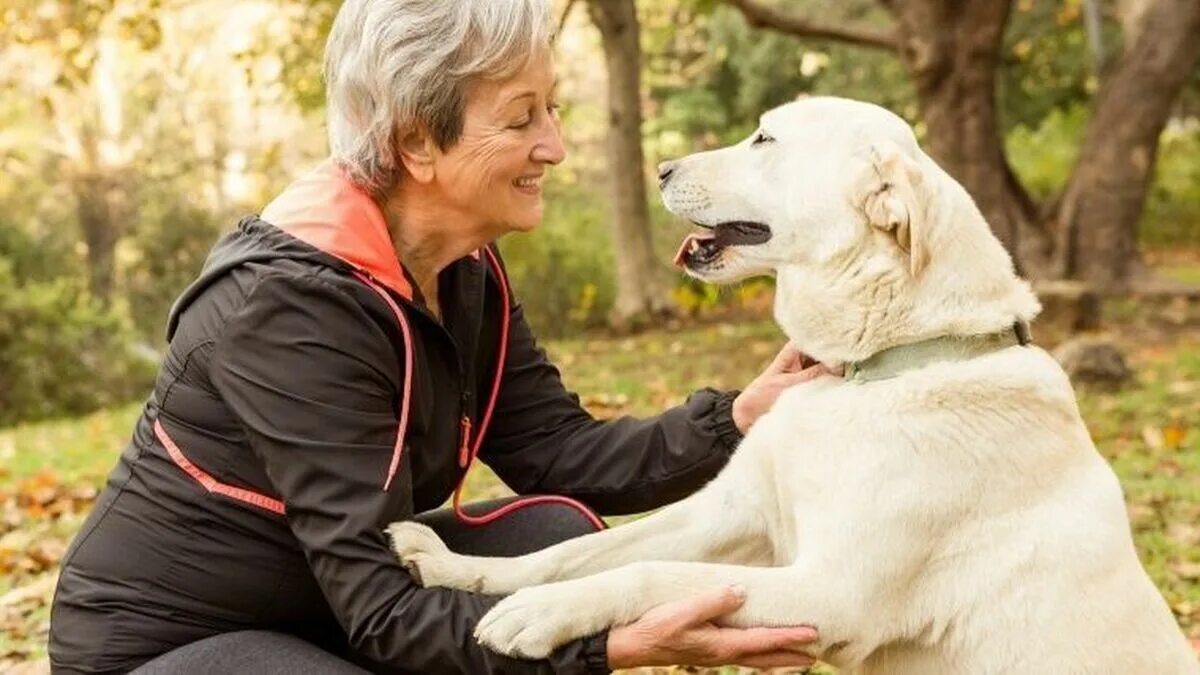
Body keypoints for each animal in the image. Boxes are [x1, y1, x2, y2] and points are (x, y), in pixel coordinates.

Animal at [388, 97, 1195, 667]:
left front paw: (542, 614)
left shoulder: (826, 591)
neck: (871, 371)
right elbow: (564, 555)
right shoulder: (728, 515)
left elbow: (647, 575)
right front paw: (455, 567)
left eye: (765, 140)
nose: (662, 168)